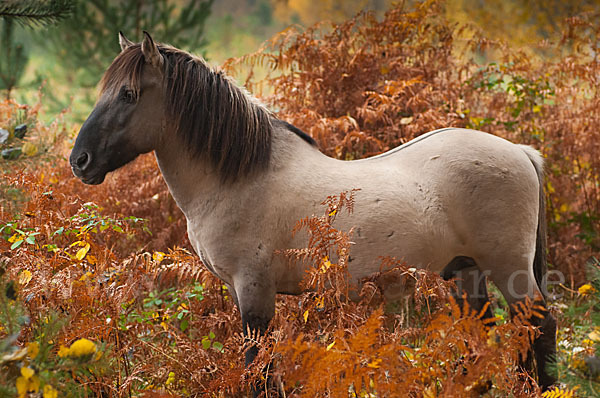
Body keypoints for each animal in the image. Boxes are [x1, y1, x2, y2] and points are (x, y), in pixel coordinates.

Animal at [69, 31, 556, 392]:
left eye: (128, 94)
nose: (80, 161)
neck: (239, 177)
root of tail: (520, 151)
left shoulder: (255, 290)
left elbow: (258, 369)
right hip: (465, 271)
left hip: (509, 270)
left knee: (538, 326)